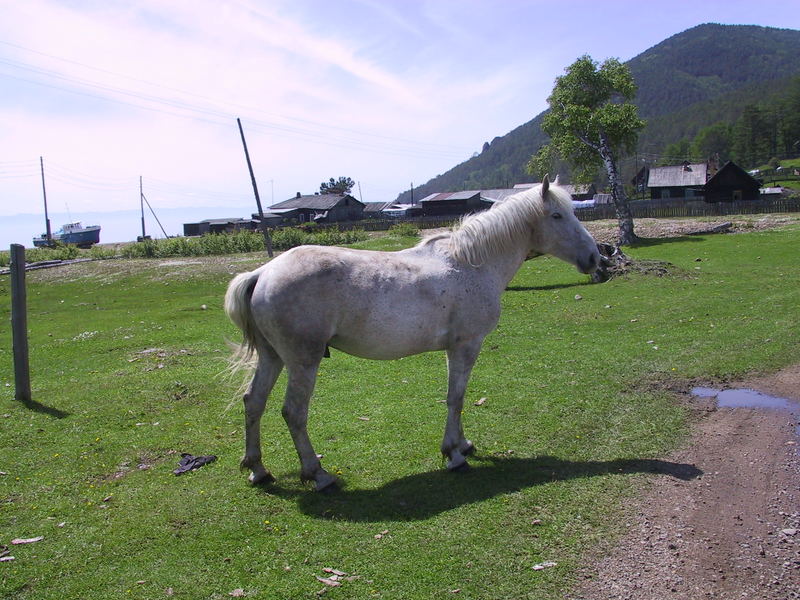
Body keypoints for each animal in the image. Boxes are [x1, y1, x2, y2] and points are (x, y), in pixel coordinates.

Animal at [225, 176, 600, 490]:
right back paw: (318, 475)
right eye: (557, 215)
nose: (597, 257)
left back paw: (258, 470)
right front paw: (454, 455)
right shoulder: (466, 345)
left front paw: (463, 444)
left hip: (273, 357)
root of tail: (263, 273)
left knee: (253, 401)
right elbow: (456, 397)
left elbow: (457, 397)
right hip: (303, 361)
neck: (471, 263)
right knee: (294, 412)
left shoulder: (455, 348)